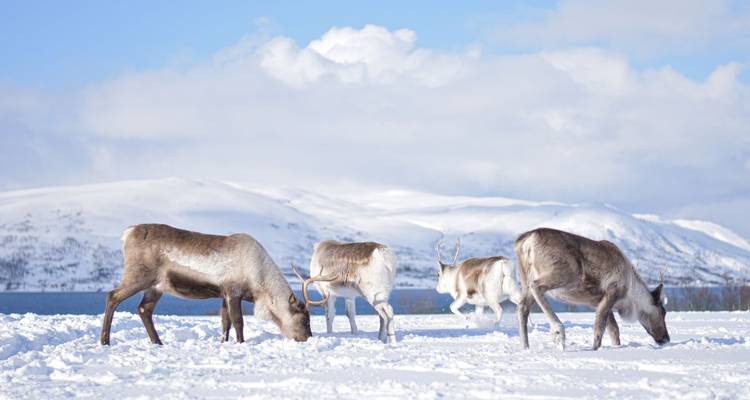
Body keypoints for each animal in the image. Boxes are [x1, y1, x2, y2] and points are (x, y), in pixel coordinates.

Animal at [100, 224, 312, 345]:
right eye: (304, 319)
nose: (308, 337)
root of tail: (127, 233)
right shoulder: (233, 291)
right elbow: (238, 321)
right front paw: (241, 343)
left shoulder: (224, 295)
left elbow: (225, 322)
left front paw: (223, 342)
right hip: (138, 276)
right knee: (113, 296)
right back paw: (105, 341)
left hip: (155, 288)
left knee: (144, 309)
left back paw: (158, 342)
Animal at [515, 227, 670, 351]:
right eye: (663, 311)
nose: (666, 338)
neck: (630, 295)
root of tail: (528, 239)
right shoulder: (611, 293)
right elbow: (599, 330)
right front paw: (594, 349)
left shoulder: (598, 301)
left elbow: (614, 330)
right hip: (568, 272)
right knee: (536, 286)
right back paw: (559, 331)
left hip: (524, 277)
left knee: (523, 305)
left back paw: (525, 347)